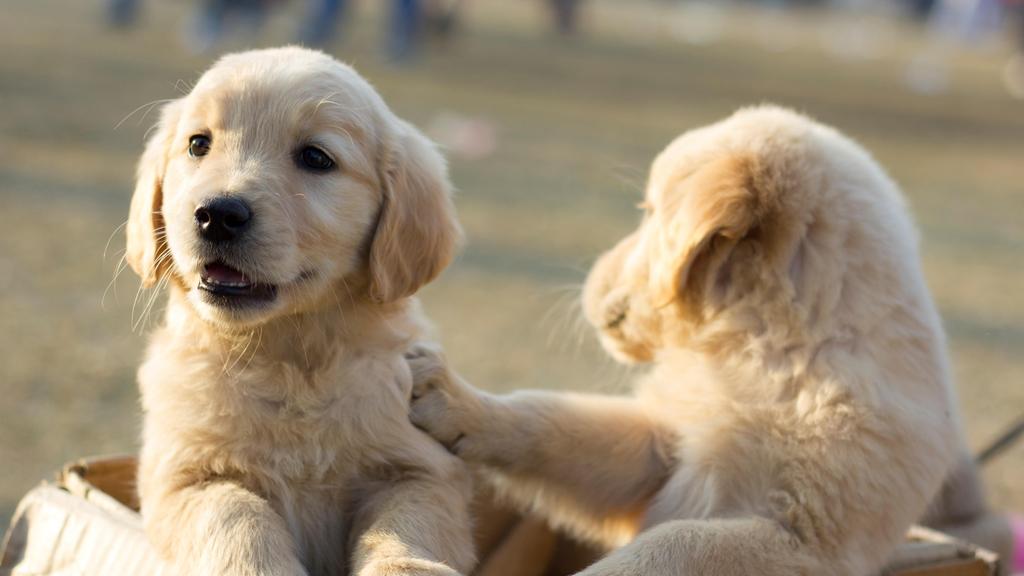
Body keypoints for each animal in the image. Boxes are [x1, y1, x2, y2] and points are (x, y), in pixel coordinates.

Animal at [128, 47, 475, 573]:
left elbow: (405, 523)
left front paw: (404, 566)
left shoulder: (424, 468)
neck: (289, 360)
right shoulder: (182, 476)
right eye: (198, 144)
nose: (216, 214)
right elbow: (236, 513)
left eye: (315, 158)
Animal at [409, 105, 966, 569]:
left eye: (650, 212)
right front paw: (457, 401)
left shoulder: (803, 539)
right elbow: (552, 421)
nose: (589, 279)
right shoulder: (661, 445)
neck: (768, 351)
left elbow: (679, 541)